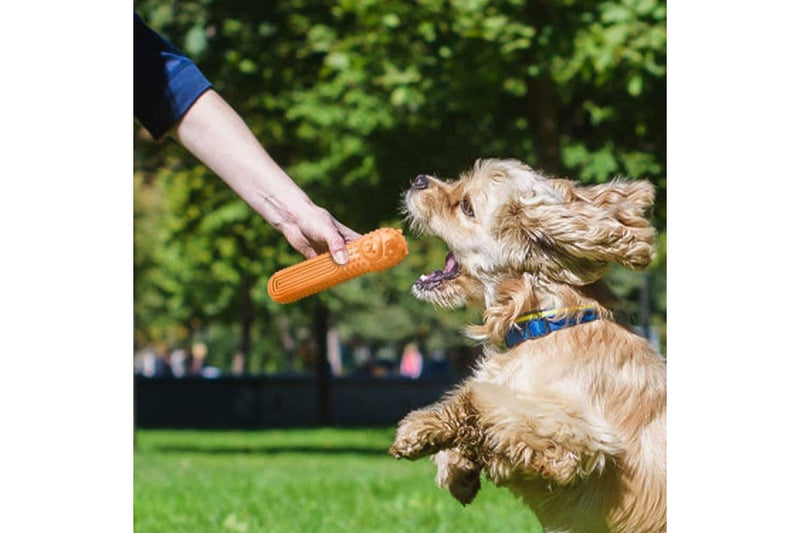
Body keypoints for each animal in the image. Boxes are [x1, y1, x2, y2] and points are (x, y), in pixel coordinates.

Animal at [390, 159, 664, 532]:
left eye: (466, 206)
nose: (419, 179)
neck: (543, 325)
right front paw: (457, 467)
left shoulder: (580, 441)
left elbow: (480, 397)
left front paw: (420, 431)